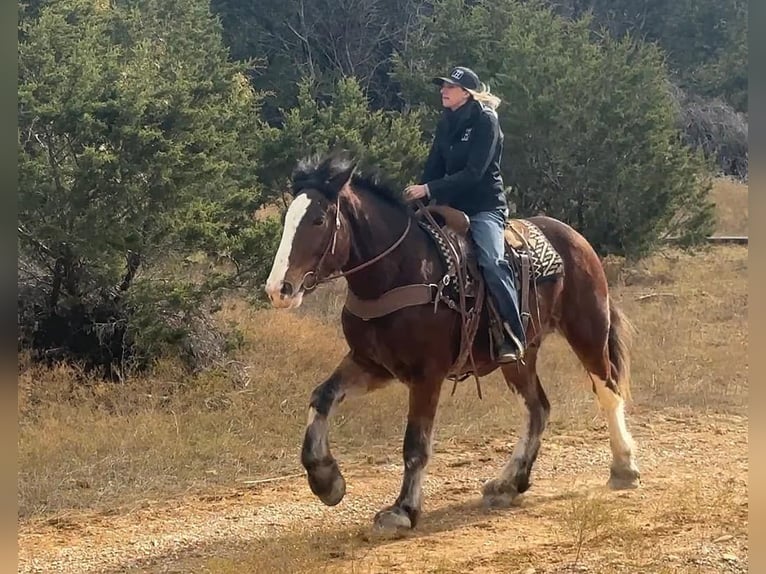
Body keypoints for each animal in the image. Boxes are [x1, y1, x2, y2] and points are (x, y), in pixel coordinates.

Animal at [264, 151, 641, 530]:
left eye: (318, 219)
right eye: (288, 217)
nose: (279, 289)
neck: (399, 271)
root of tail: (575, 238)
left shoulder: (426, 375)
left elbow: (416, 445)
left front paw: (402, 510)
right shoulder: (371, 364)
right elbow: (321, 398)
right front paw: (326, 480)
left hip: (587, 330)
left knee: (608, 391)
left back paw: (624, 467)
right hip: (520, 357)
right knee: (537, 409)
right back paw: (508, 483)